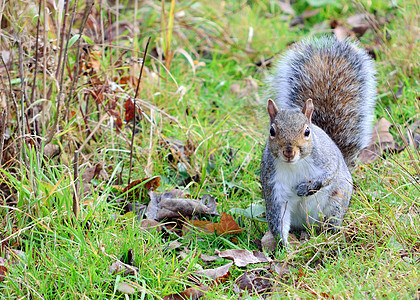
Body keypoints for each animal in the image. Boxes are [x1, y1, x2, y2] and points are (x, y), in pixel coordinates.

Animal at [262, 35, 378, 246]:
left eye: (307, 132)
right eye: (272, 131)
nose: (289, 151)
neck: (294, 165)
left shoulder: (326, 159)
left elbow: (328, 174)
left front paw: (306, 187)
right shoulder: (274, 185)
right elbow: (278, 219)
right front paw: (285, 247)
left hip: (337, 201)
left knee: (333, 220)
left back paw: (330, 235)